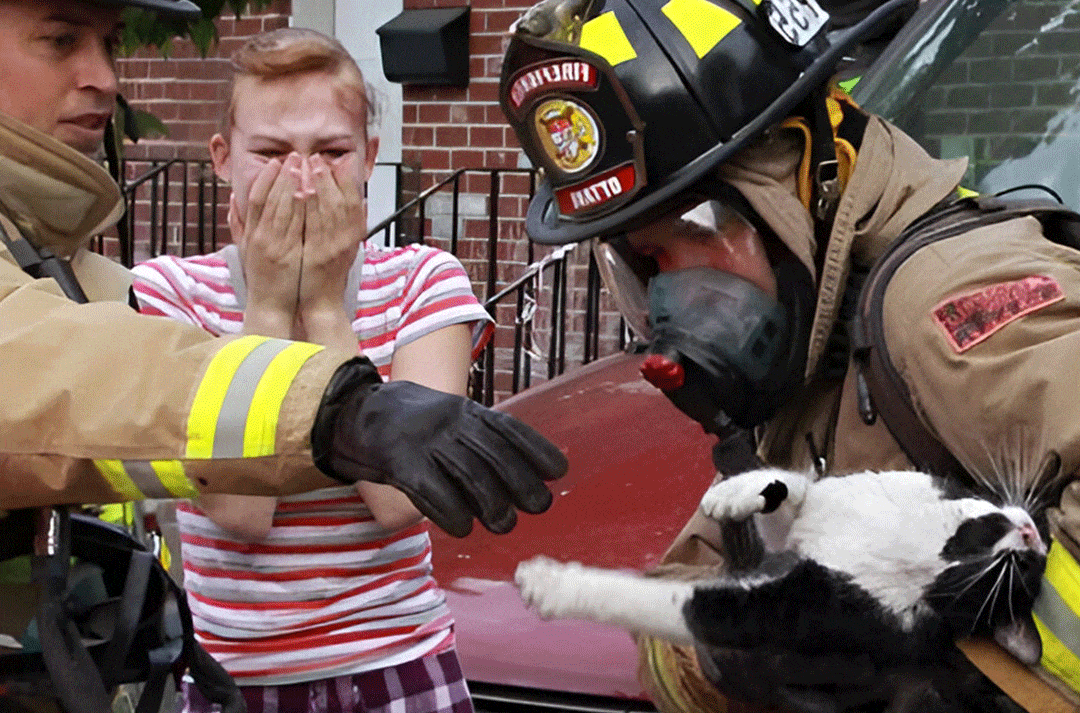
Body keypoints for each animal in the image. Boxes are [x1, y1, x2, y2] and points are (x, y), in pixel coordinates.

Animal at [514, 468, 1045, 678]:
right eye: (1034, 562)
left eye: (1020, 572)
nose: (1031, 536)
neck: (930, 541)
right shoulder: (823, 511)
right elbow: (795, 486)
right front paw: (733, 494)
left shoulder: (806, 608)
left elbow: (685, 606)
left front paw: (551, 584)